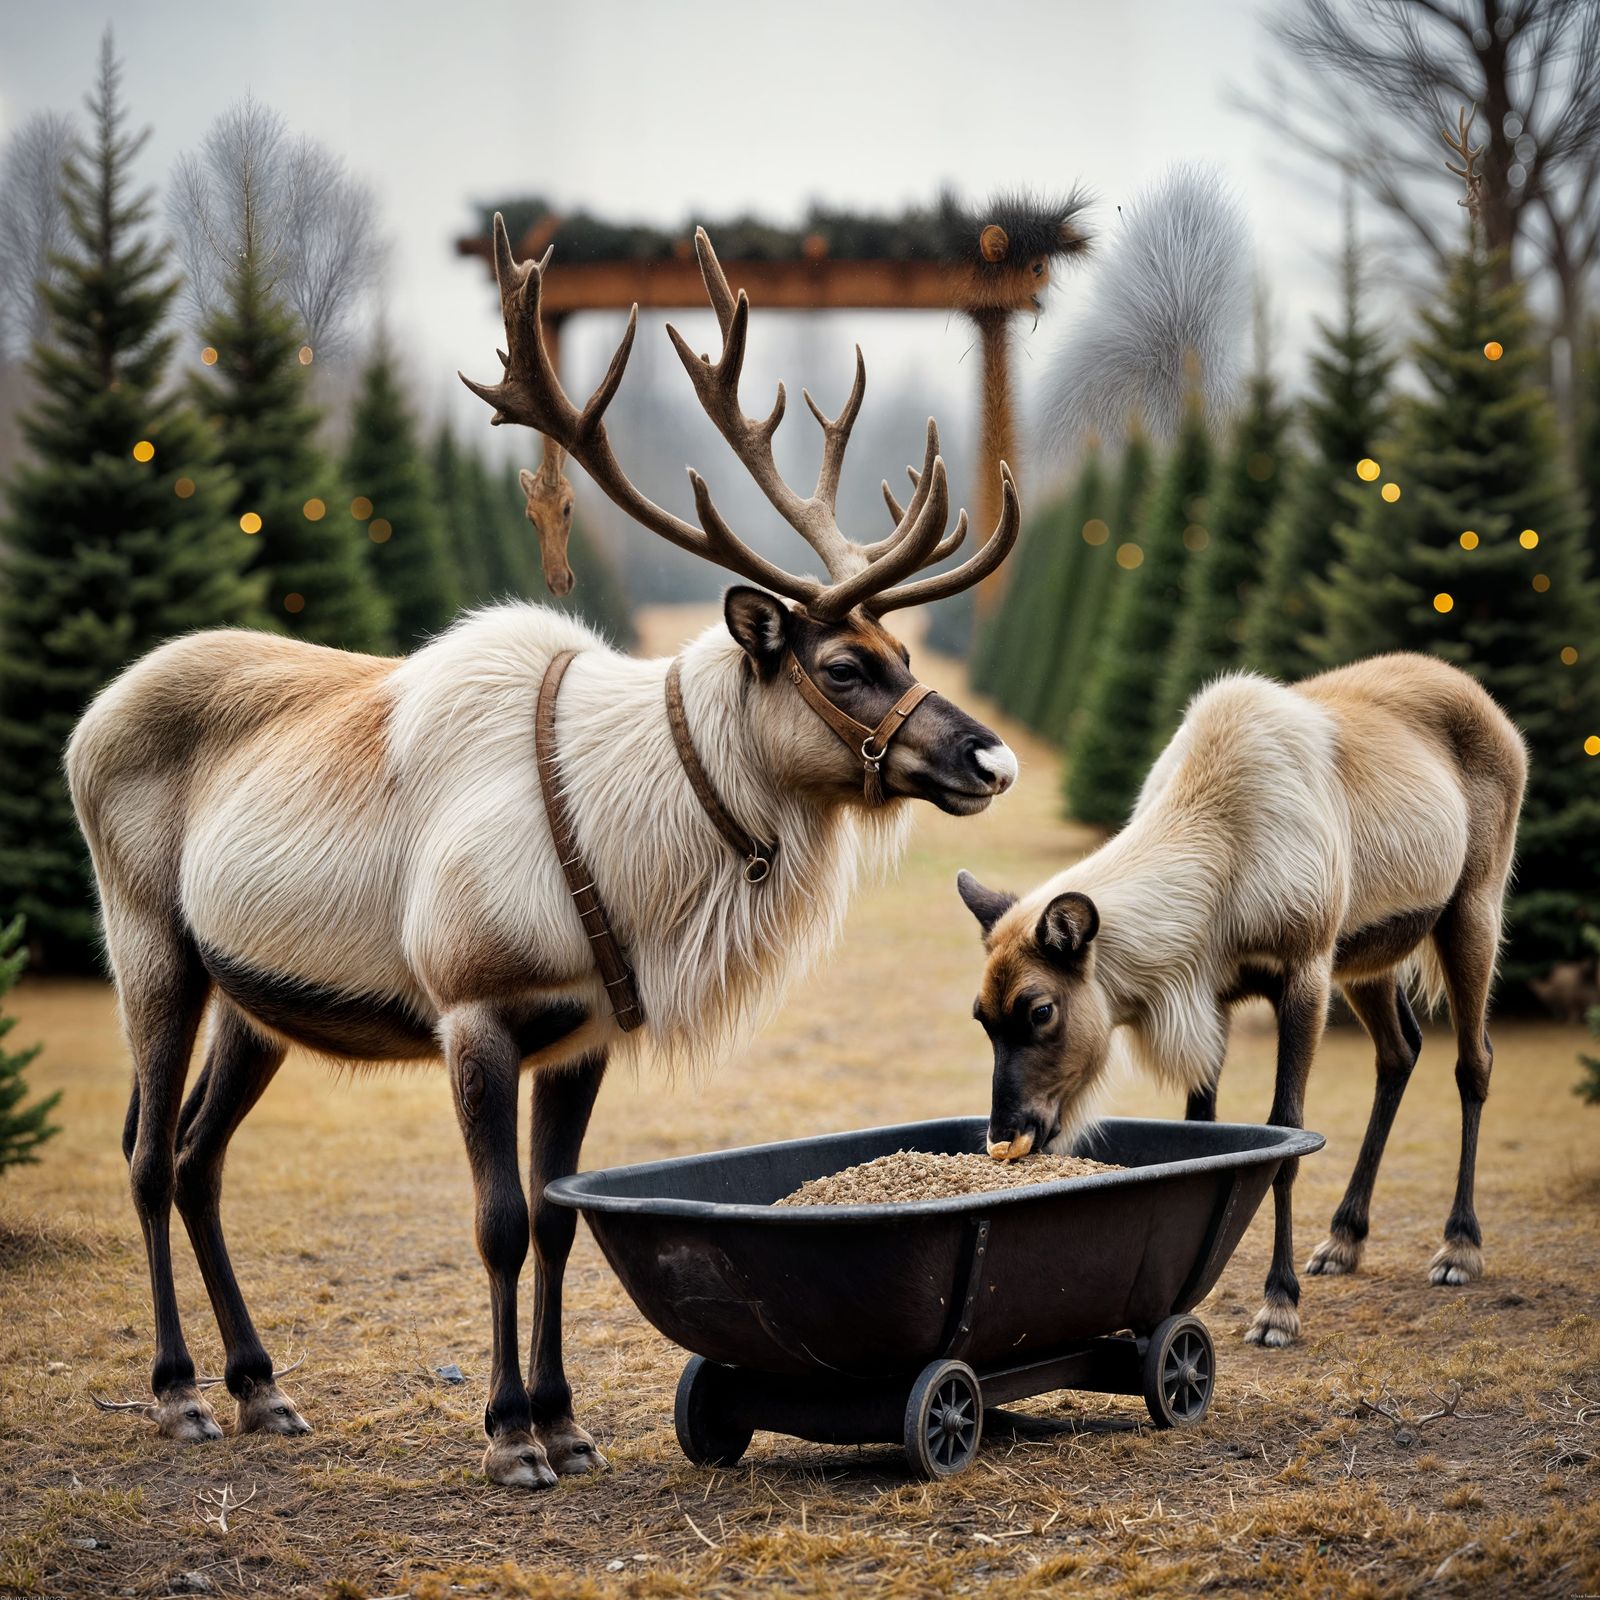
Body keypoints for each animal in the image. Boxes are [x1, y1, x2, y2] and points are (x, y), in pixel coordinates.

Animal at [68, 217, 1024, 1490]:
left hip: (252, 998)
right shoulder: (472, 1008)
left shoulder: (582, 1034)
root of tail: (90, 716)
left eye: (906, 650)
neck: (637, 850)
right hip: (149, 945)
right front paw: (509, 1432)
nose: (989, 757)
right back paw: (179, 1392)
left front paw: (565, 1422)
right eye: (842, 666)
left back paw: (261, 1386)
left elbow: (563, 1215)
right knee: (139, 1155)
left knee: (193, 1158)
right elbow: (499, 1221)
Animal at [955, 654, 1525, 1348]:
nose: (1005, 1134)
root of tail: (1484, 699)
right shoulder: (1218, 995)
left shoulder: (1305, 969)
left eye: (1040, 1010)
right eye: (981, 1018)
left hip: (1472, 907)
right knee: (1399, 1052)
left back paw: (1459, 1245)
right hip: (1368, 953)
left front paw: (1278, 1305)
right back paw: (1344, 1237)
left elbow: (1287, 1135)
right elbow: (1208, 1133)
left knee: (1475, 1061)